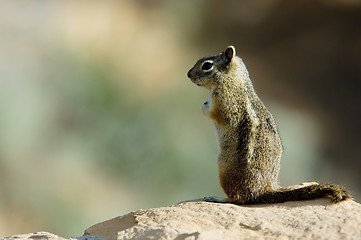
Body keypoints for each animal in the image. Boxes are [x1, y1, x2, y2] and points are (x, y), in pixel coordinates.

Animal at [187, 46, 350, 203]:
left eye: (207, 65)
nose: (188, 74)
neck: (233, 79)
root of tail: (264, 190)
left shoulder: (225, 102)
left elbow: (215, 113)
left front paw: (204, 107)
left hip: (224, 169)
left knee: (238, 198)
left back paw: (217, 198)